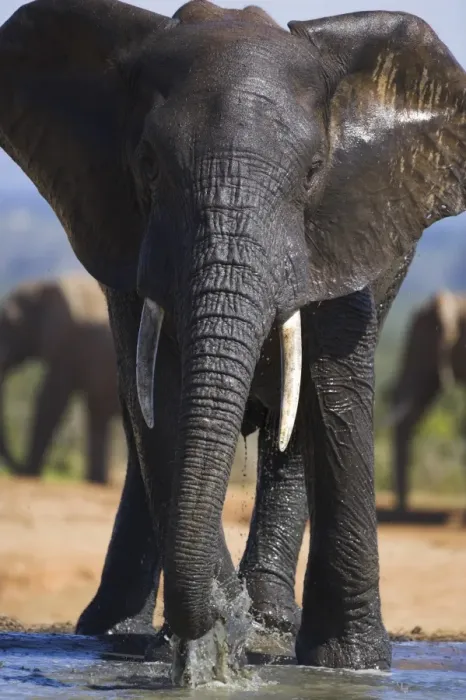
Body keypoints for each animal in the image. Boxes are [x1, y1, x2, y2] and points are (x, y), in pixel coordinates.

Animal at [0, 273, 121, 484]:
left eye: (11, 322)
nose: (17, 470)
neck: (43, 285)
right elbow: (96, 414)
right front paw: (95, 481)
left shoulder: (66, 342)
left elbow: (50, 399)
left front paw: (30, 473)